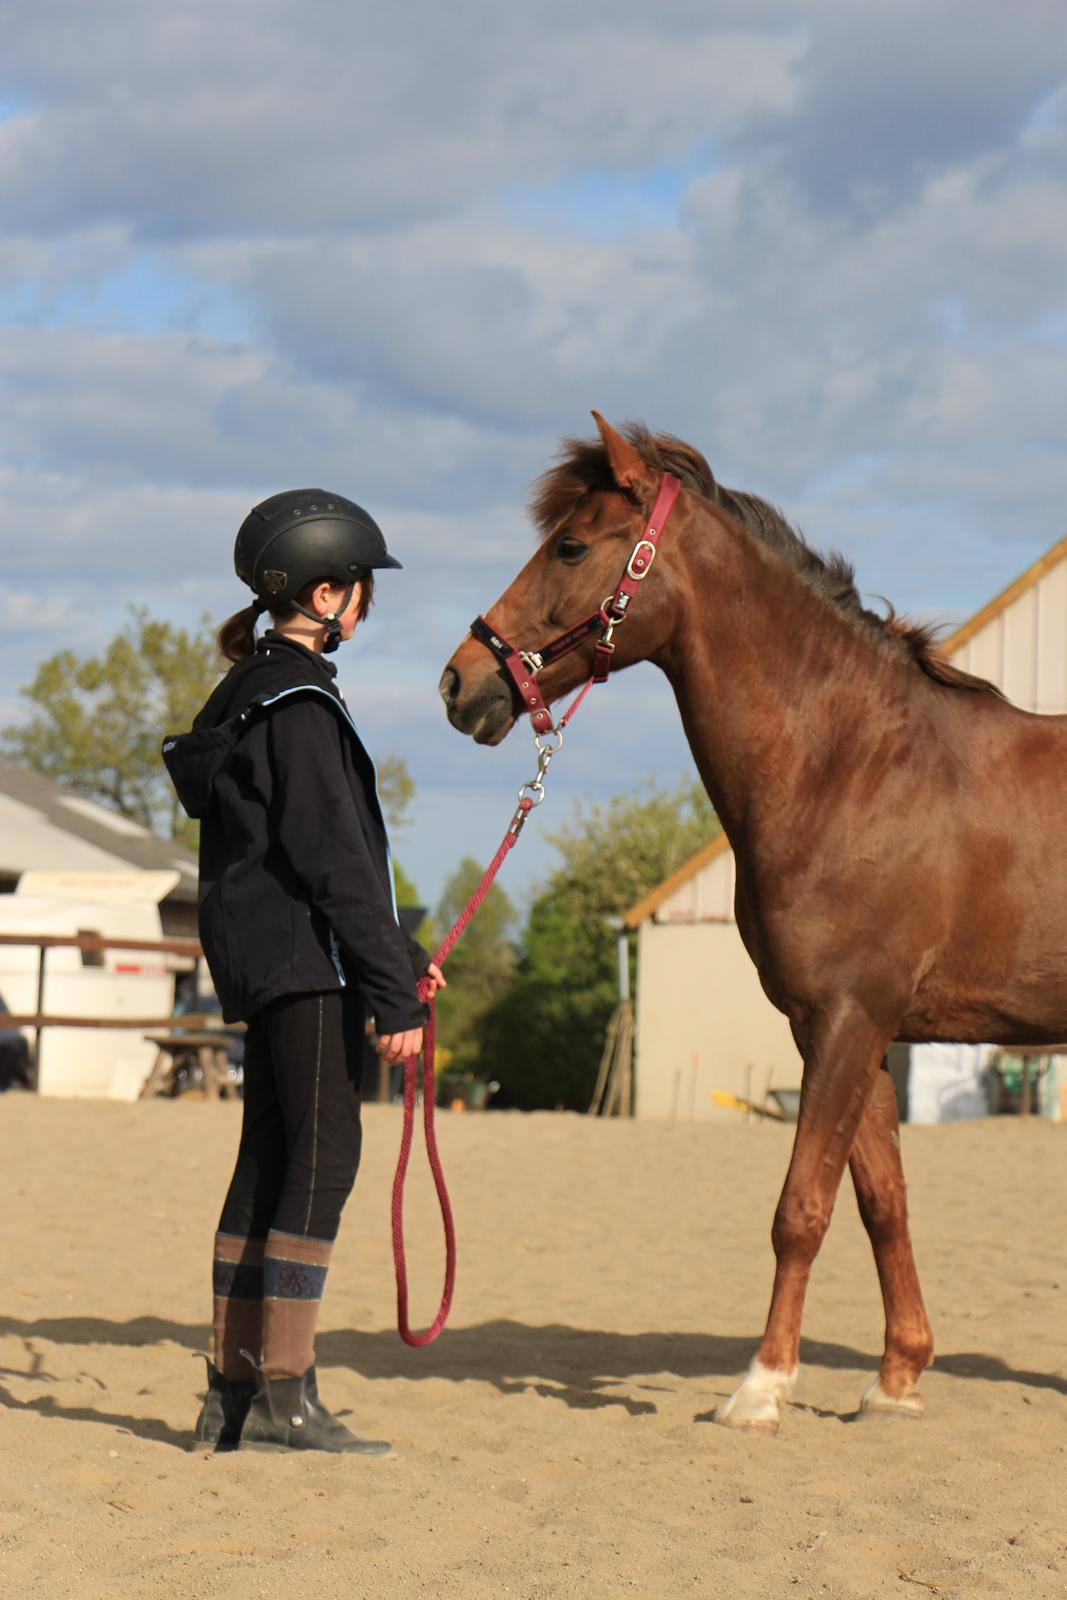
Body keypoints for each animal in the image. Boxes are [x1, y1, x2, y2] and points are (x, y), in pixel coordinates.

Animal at [438, 416, 1067, 1440]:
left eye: (569, 545)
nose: (460, 684)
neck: (852, 765)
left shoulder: (850, 1019)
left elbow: (800, 1207)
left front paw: (760, 1387)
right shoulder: (843, 1028)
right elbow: (880, 1201)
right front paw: (895, 1380)